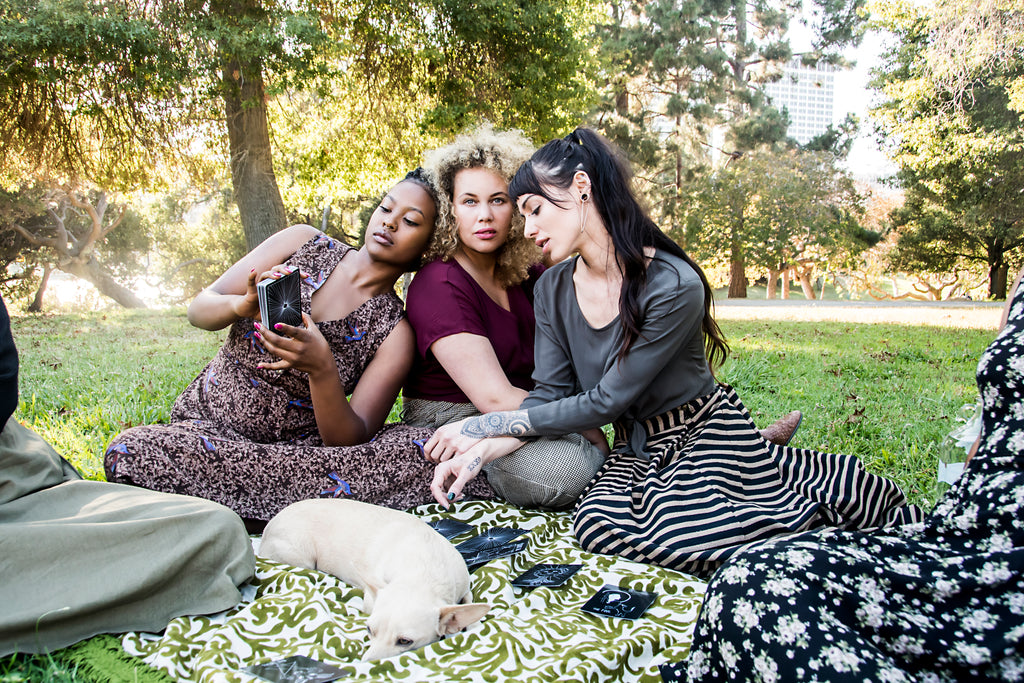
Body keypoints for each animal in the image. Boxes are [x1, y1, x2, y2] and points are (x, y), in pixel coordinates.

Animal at [260, 499, 491, 659]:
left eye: (405, 641)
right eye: (369, 630)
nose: (365, 664)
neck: (423, 573)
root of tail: (269, 525)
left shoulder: (464, 588)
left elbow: (469, 603)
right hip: (302, 557)